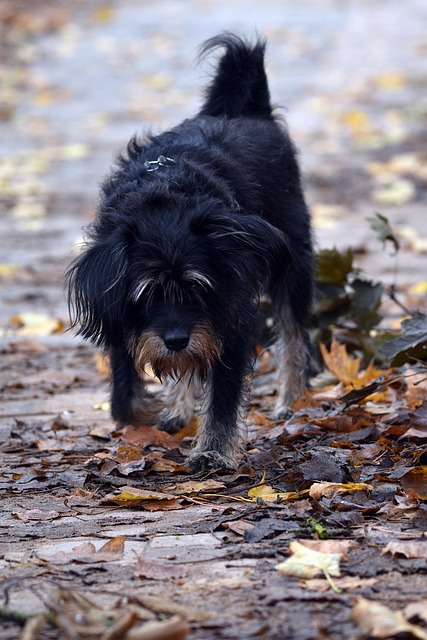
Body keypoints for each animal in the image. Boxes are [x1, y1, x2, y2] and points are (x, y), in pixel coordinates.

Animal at [67, 35, 314, 472]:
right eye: (147, 293)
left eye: (198, 287)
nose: (176, 339)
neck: (164, 200)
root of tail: (246, 112)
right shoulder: (118, 308)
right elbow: (125, 395)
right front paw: (147, 414)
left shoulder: (231, 314)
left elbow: (223, 393)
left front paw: (213, 450)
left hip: (294, 264)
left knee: (294, 334)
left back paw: (291, 399)